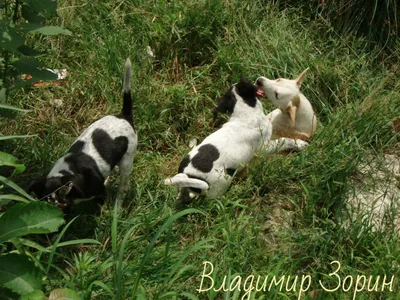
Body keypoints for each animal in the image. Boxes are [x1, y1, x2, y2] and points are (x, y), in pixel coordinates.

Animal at [27, 58, 138, 209]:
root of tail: (124, 116)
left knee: (123, 187)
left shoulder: (99, 190)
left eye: (62, 197)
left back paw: (117, 207)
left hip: (127, 161)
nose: (59, 204)